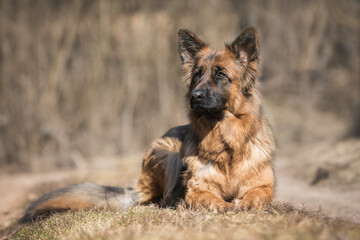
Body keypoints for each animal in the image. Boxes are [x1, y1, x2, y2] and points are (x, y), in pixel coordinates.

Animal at [20, 26, 276, 221]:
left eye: (221, 75)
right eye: (197, 75)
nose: (194, 97)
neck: (227, 144)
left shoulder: (264, 186)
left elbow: (258, 194)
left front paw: (245, 202)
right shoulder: (198, 190)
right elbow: (208, 198)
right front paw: (224, 205)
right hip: (166, 150)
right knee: (158, 197)